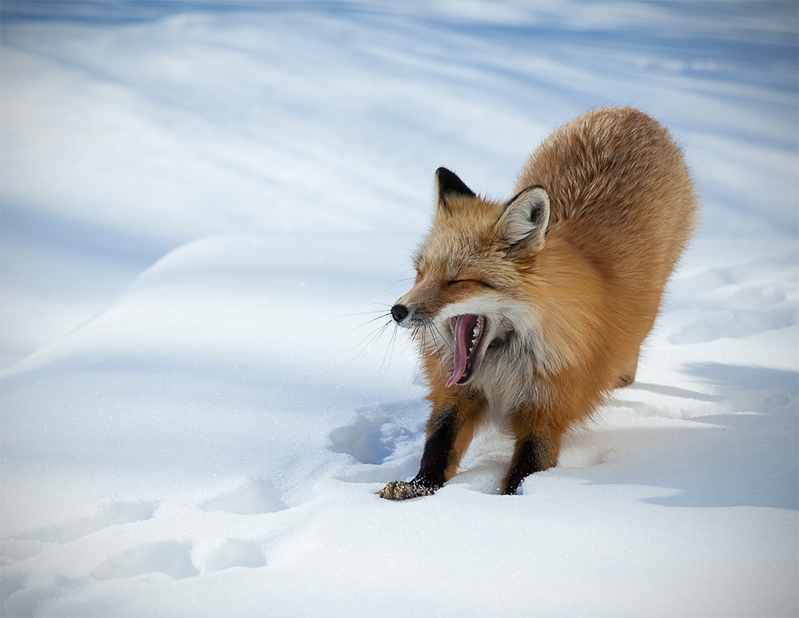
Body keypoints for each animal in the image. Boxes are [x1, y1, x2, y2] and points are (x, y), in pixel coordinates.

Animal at [378, 107, 696, 500]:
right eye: (420, 273)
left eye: (456, 281)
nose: (397, 312)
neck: (501, 367)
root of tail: (629, 111)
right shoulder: (456, 395)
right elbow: (439, 446)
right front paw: (416, 488)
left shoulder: (547, 411)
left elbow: (525, 472)